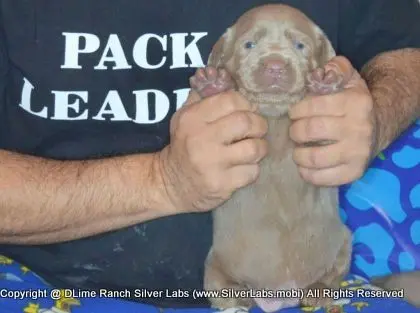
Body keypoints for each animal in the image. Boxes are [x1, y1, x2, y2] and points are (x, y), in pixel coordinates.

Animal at [191, 4, 354, 312]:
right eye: (249, 45)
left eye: (300, 45)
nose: (275, 65)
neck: (275, 119)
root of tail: (278, 295)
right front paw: (213, 85)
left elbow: (323, 139)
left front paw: (325, 86)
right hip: (214, 264)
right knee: (220, 288)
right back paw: (236, 297)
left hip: (344, 240)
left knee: (333, 273)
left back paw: (318, 291)